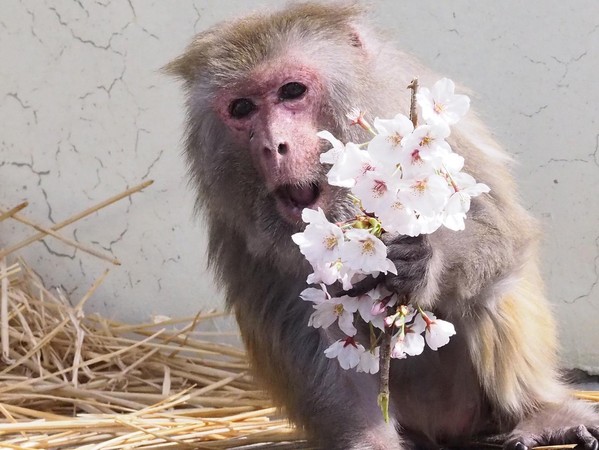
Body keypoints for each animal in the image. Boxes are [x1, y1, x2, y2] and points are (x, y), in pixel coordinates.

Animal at [166, 3, 599, 450]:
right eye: (241, 109)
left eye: (291, 91)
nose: (273, 145)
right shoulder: (242, 226)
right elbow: (306, 329)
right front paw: (369, 438)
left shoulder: (427, 123)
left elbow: (498, 231)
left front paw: (421, 262)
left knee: (491, 289)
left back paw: (539, 413)